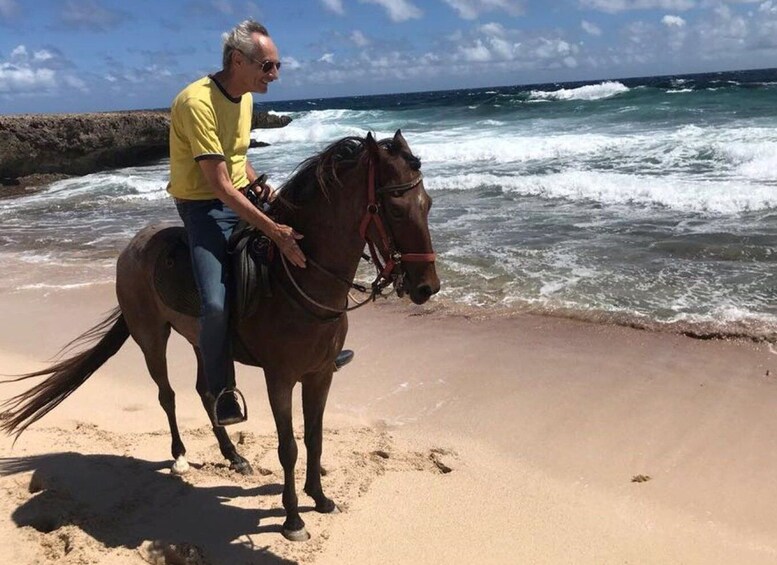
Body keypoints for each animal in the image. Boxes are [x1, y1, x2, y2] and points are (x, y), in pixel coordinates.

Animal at [0, 130, 436, 540]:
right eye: (395, 210)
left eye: (428, 204)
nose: (427, 287)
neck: (298, 280)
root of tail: (132, 247)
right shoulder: (280, 379)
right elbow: (289, 447)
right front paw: (293, 519)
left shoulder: (320, 374)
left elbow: (315, 438)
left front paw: (320, 498)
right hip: (151, 338)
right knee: (168, 395)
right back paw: (179, 456)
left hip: (201, 339)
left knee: (206, 391)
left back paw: (233, 456)